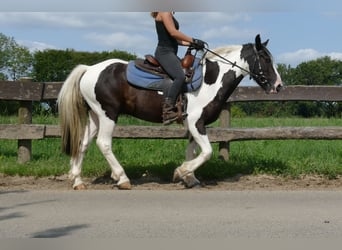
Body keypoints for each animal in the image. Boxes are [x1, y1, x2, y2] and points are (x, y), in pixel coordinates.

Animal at [58, 33, 284, 189]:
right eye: (265, 59)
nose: (279, 86)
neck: (210, 79)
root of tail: (89, 69)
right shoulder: (196, 122)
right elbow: (207, 152)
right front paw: (181, 172)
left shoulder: (194, 124)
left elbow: (193, 151)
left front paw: (190, 178)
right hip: (108, 114)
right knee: (104, 144)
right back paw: (122, 178)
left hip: (95, 115)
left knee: (83, 143)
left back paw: (77, 180)